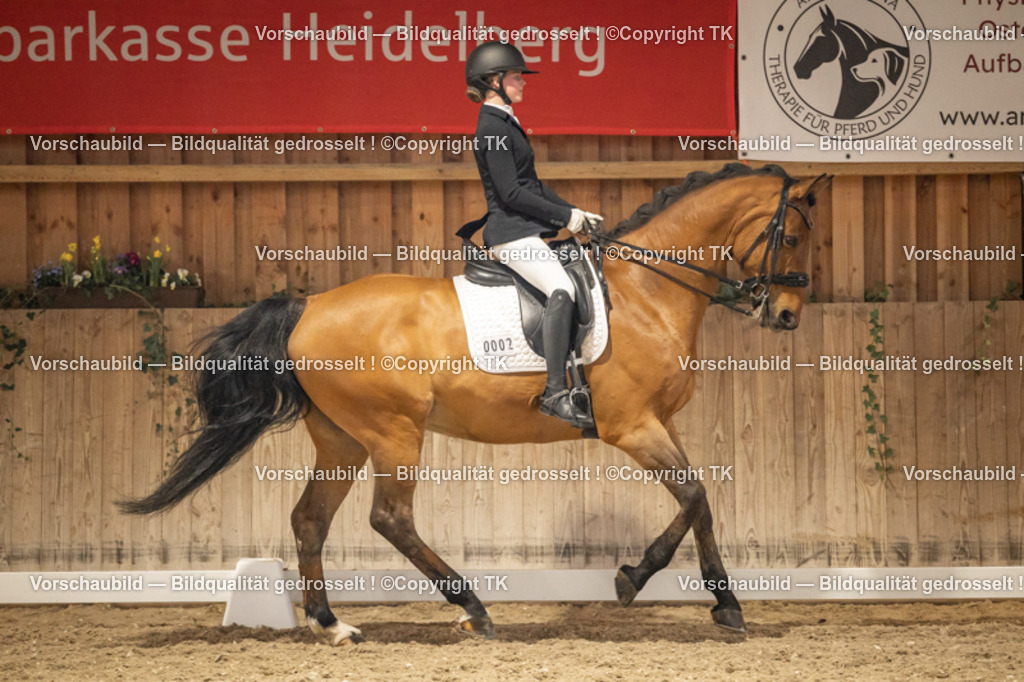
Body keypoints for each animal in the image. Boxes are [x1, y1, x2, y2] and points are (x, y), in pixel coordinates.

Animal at [120, 163, 829, 645]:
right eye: (794, 238)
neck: (645, 292)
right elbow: (694, 494)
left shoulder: (659, 424)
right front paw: (655, 583)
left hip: (344, 439)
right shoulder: (632, 426)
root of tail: (309, 305)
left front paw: (705, 598)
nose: (789, 316)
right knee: (390, 519)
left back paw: (332, 625)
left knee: (310, 520)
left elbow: (698, 500)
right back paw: (473, 609)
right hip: (394, 433)